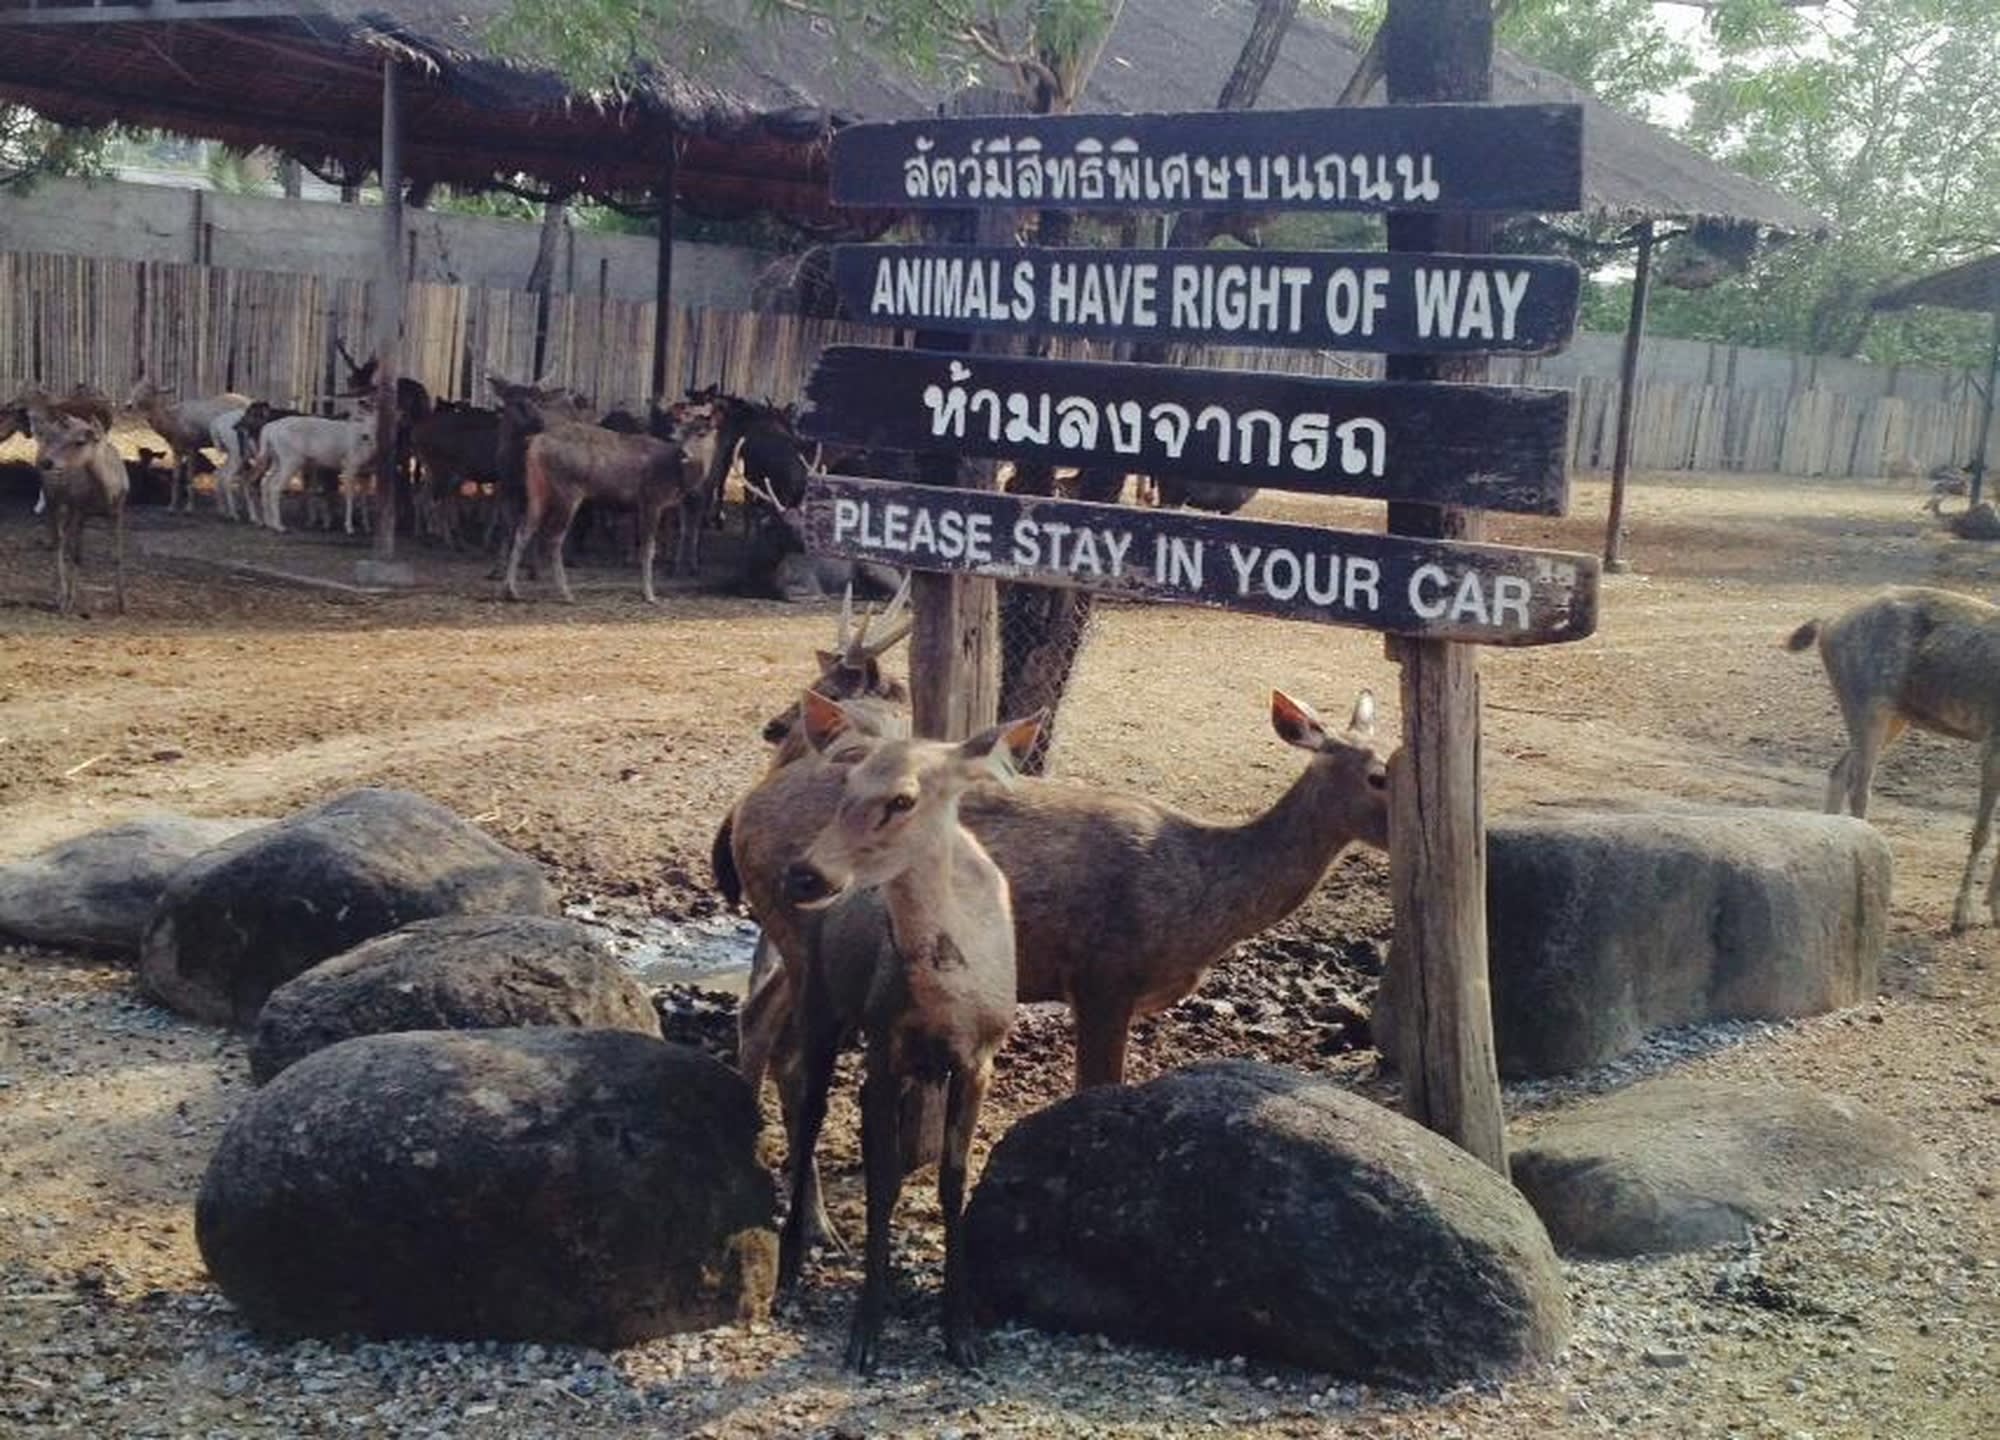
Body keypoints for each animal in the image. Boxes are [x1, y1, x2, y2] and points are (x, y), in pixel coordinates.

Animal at [30, 408, 128, 617]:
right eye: (60, 437)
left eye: (80, 441)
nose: (46, 462)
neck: (106, 494)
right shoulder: (81, 509)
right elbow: (78, 555)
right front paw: (69, 603)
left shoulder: (118, 511)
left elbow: (117, 556)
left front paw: (122, 605)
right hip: (52, 497)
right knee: (57, 540)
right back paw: (58, 596)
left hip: (68, 506)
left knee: (62, 536)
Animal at [125, 379, 251, 513]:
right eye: (134, 388)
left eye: (147, 391)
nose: (128, 405)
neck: (172, 423)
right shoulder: (175, 449)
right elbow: (176, 477)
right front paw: (171, 507)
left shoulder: (192, 447)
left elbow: (190, 476)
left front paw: (189, 507)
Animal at [778, 691, 1043, 1372]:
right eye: (846, 786)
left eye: (903, 799)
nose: (805, 875)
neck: (948, 1001)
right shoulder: (883, 1042)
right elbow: (879, 1185)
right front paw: (865, 1335)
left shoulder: (981, 1058)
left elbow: (951, 1182)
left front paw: (961, 1332)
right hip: (820, 1001)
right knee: (807, 1107)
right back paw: (791, 1268)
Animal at [1787, 586, 2000, 930]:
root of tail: (1828, 623)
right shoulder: (1992, 739)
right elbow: (1981, 831)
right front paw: (1960, 916)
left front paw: (1994, 909)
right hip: (1867, 704)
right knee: (1860, 788)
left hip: (1894, 716)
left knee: (1839, 770)